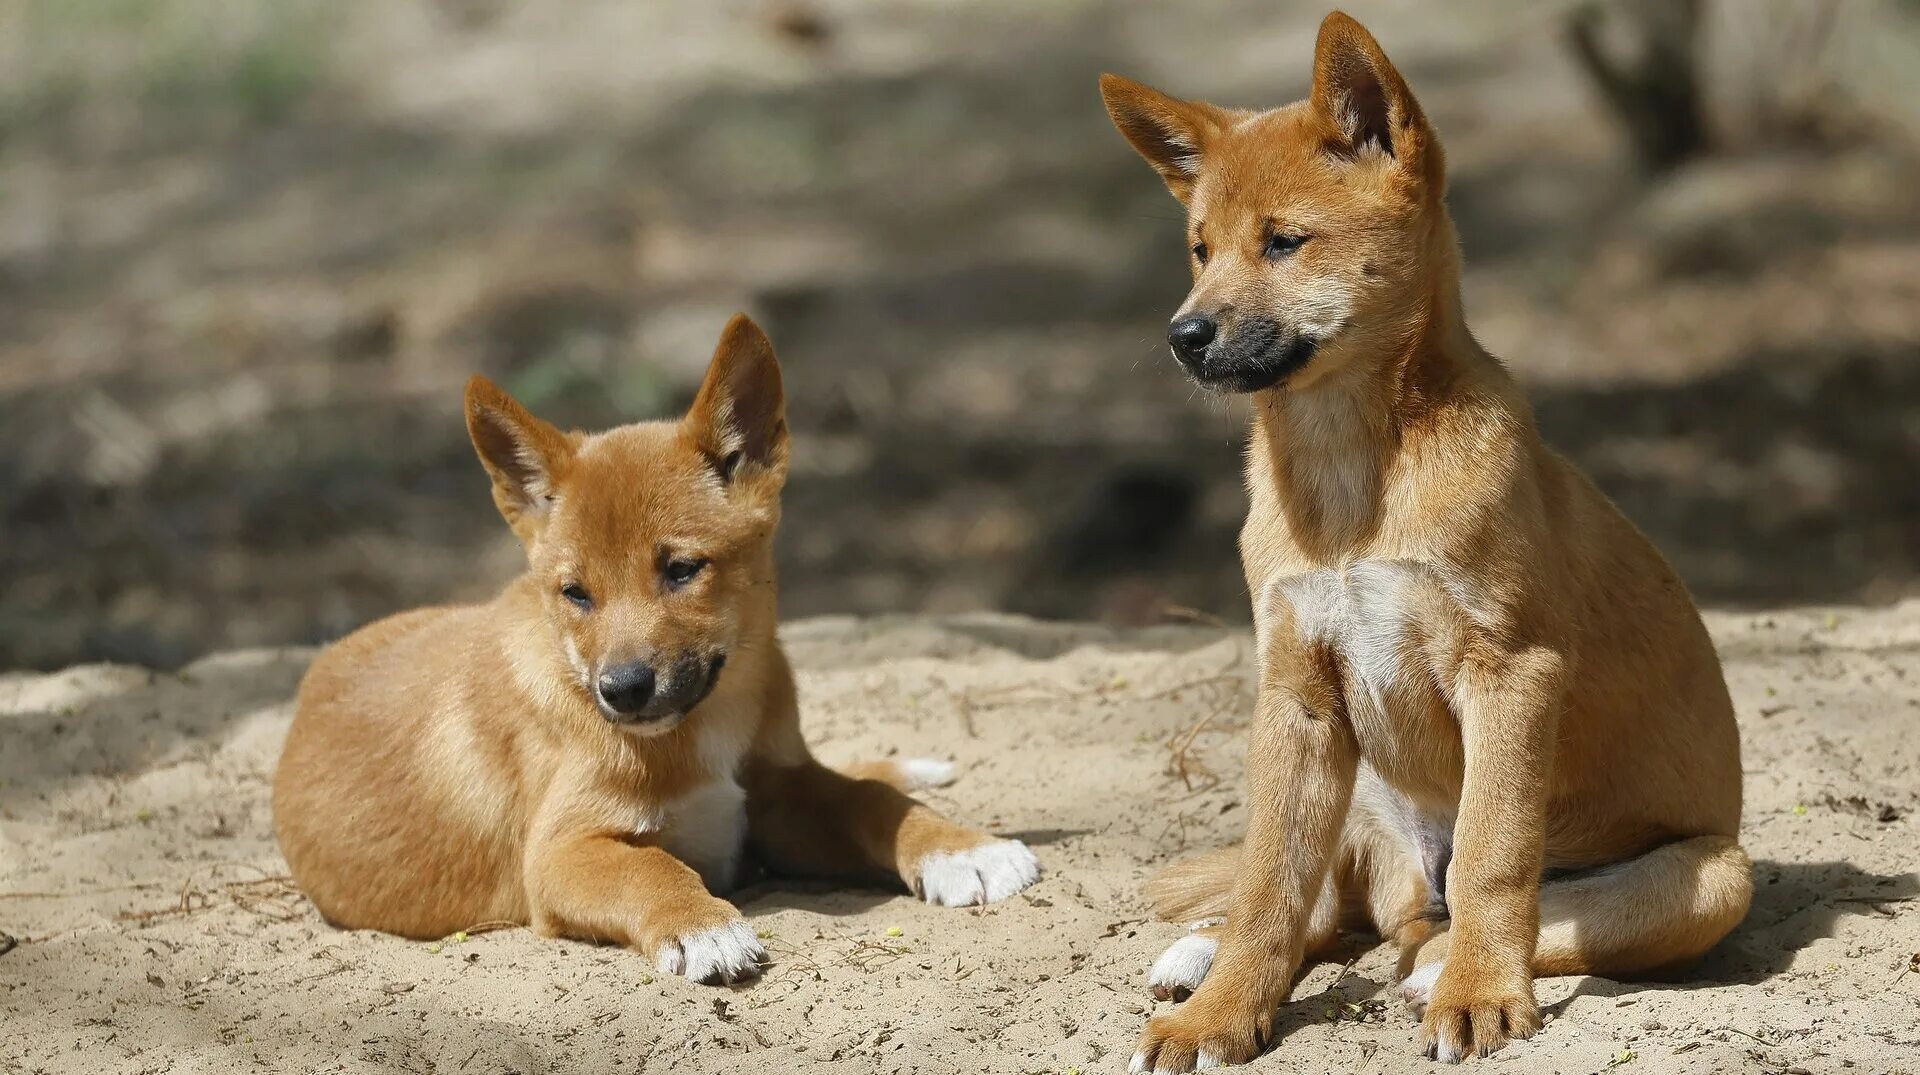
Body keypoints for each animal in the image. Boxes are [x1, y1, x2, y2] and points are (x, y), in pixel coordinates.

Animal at [274, 312, 1036, 982]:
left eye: (681, 569)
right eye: (575, 593)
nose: (622, 690)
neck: (705, 727)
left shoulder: (776, 795)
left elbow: (865, 799)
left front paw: (961, 848)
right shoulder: (560, 852)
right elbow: (648, 866)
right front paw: (701, 926)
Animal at [1105, 12, 1751, 1067]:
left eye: (1285, 242)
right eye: (1199, 250)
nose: (1183, 336)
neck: (1350, 484)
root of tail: (1413, 886)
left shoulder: (1513, 673)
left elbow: (1495, 858)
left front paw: (1481, 993)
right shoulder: (1297, 694)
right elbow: (1268, 886)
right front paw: (1221, 1013)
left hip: (1713, 874)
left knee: (1487, 917)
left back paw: (1438, 966)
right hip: (1354, 789)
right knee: (1331, 910)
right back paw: (1202, 956)